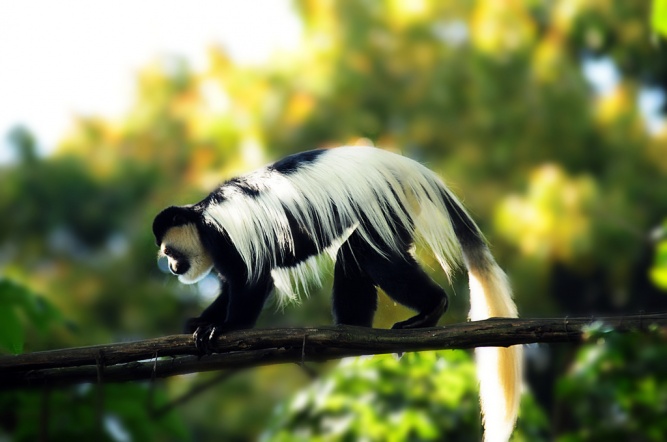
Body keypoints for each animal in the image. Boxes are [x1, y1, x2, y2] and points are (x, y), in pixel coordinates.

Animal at [152, 146, 522, 442]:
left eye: (170, 250)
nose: (172, 266)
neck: (202, 219)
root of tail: (403, 165)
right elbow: (228, 289)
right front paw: (199, 324)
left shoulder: (229, 235)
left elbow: (251, 281)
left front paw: (225, 329)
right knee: (355, 255)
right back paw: (347, 333)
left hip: (379, 200)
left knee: (374, 256)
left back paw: (430, 309)